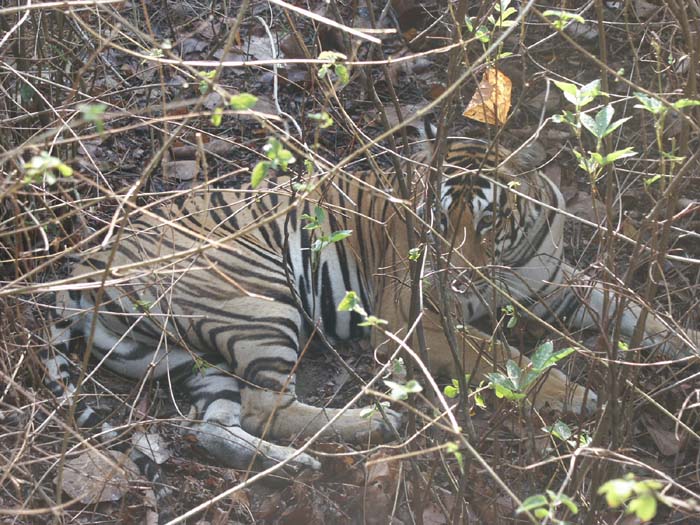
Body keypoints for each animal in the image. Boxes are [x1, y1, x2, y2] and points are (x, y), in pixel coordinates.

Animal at [41, 126, 696, 470]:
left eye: (487, 223)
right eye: (437, 223)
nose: (458, 279)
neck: (509, 261)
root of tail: (86, 261)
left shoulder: (557, 287)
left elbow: (640, 313)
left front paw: (682, 346)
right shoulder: (413, 318)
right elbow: (497, 353)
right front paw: (576, 395)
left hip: (189, 357)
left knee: (217, 423)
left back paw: (296, 463)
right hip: (258, 300)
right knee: (266, 405)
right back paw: (375, 422)